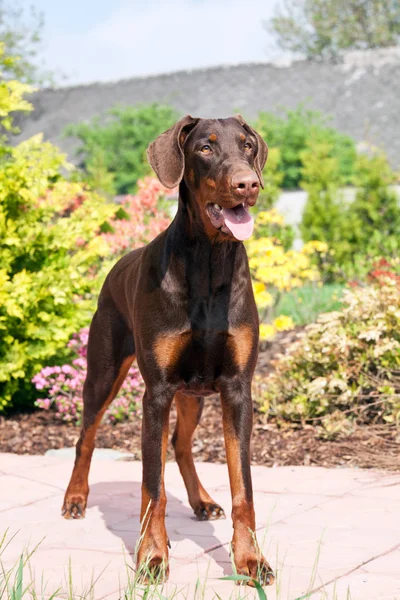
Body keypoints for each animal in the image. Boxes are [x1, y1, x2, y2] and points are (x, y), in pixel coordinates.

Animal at [62, 115, 276, 584]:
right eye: (205, 148)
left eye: (248, 145)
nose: (248, 184)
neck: (209, 260)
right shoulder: (157, 391)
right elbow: (152, 487)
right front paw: (152, 557)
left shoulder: (237, 388)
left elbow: (244, 489)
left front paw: (251, 560)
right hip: (105, 374)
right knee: (88, 438)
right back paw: (75, 498)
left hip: (193, 392)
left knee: (177, 444)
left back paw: (200, 501)